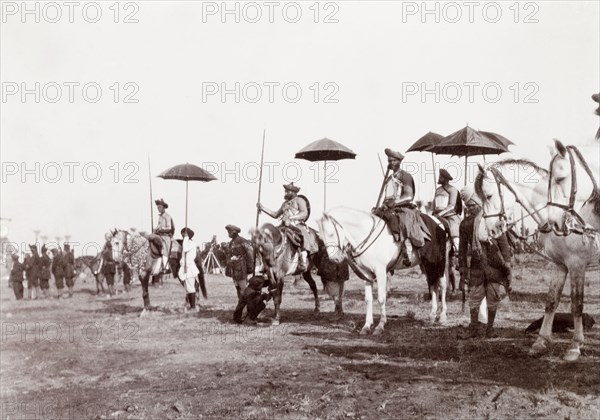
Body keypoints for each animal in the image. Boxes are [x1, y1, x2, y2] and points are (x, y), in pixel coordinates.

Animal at [318, 207, 450, 334]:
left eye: (331, 234)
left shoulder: (380, 271)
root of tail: (439, 222)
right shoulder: (366, 274)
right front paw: (366, 326)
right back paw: (432, 315)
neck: (366, 235)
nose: (334, 258)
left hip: (438, 263)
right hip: (426, 265)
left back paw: (442, 315)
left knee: (442, 285)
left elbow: (381, 298)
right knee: (433, 285)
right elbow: (368, 299)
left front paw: (380, 326)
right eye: (321, 236)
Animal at [476, 142, 596, 360]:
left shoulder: (577, 265)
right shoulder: (560, 265)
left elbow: (577, 304)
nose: (482, 233)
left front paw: (575, 346)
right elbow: (551, 301)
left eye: (488, 196)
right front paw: (541, 342)